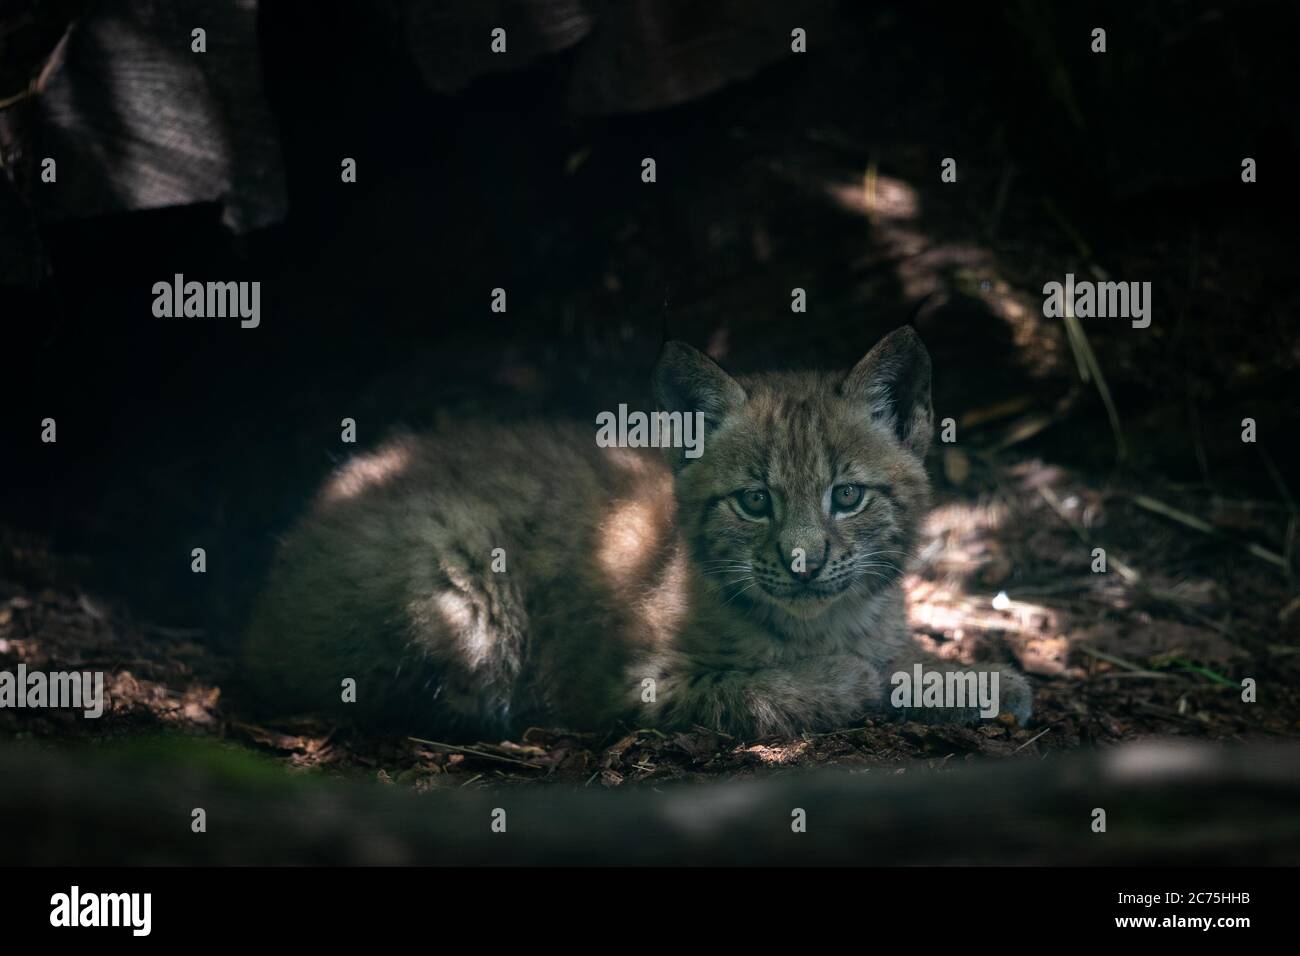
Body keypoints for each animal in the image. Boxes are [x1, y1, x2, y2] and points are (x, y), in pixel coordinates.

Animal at [245, 325, 1034, 738]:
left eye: (846, 496)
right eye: (755, 501)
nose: (803, 564)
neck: (821, 618)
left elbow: (901, 655)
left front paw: (977, 678)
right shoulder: (618, 681)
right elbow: (753, 688)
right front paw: (849, 681)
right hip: (460, 585)